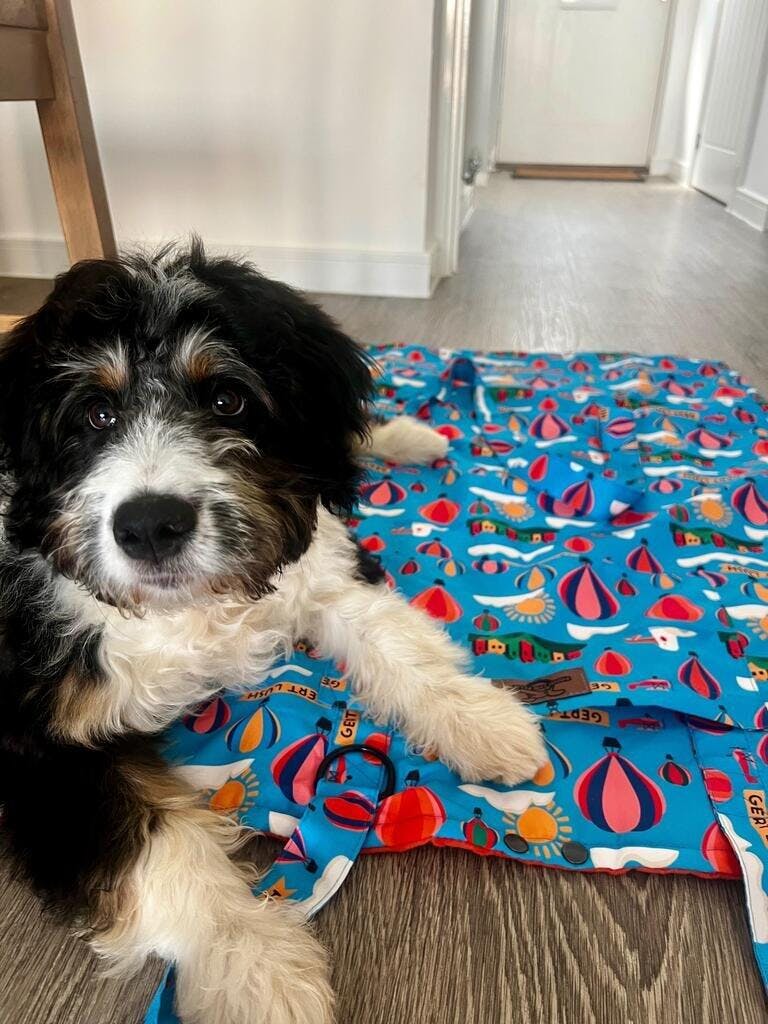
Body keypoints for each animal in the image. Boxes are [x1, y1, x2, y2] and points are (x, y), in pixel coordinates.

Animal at [0, 242, 544, 1024]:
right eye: (96, 413)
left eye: (226, 399)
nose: (151, 525)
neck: (191, 609)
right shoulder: (37, 739)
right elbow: (160, 843)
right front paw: (254, 966)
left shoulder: (319, 561)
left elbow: (395, 641)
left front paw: (481, 721)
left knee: (346, 436)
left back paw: (412, 437)